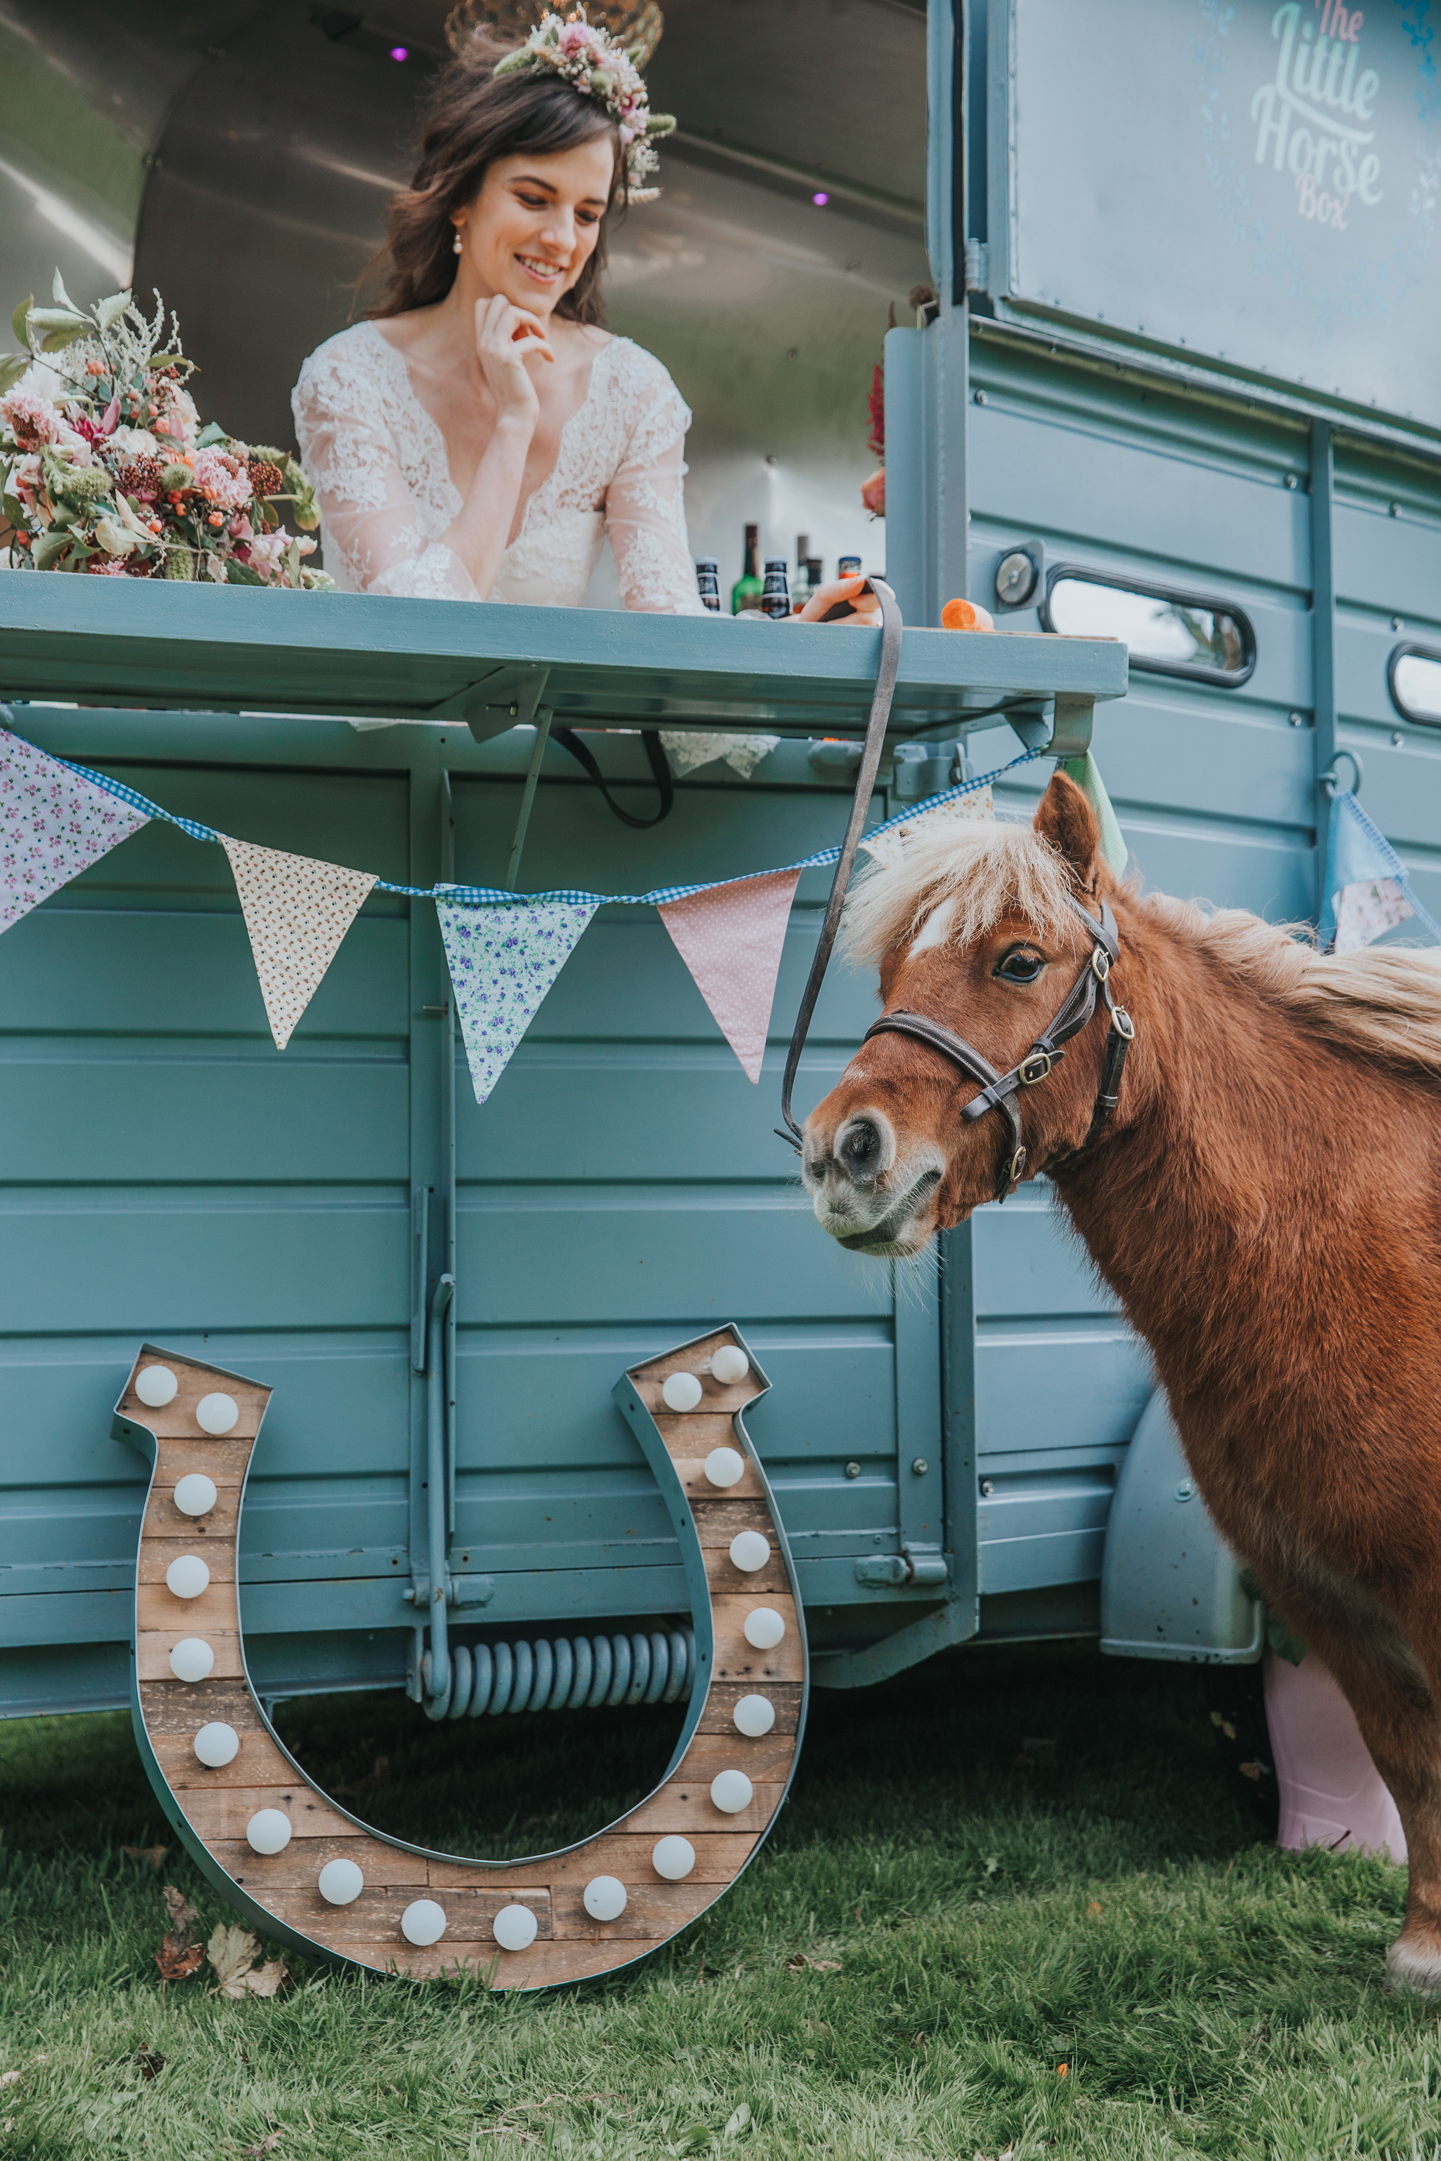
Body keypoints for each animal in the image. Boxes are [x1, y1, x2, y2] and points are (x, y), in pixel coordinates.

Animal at [807, 773, 1441, 1988]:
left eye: (1018, 960)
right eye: (890, 973)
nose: (839, 1154)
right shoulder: (1328, 1596)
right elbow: (1409, 1765)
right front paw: (1425, 1951)